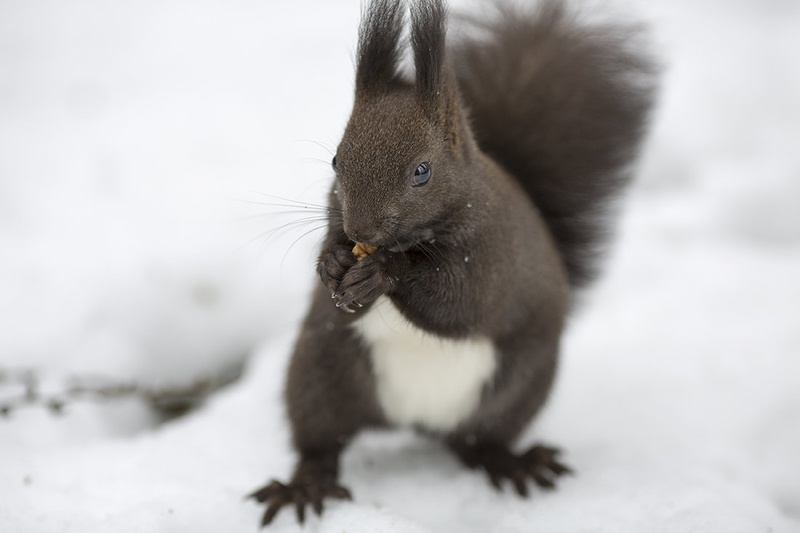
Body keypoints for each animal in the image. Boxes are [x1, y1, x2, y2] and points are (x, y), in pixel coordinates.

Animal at [250, 0, 657, 525]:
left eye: (422, 171)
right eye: (336, 161)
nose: (362, 233)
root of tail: (415, 418)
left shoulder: (491, 255)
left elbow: (459, 302)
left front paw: (384, 273)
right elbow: (338, 278)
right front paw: (334, 265)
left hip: (519, 387)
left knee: (478, 443)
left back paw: (514, 464)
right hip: (319, 371)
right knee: (321, 443)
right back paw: (305, 486)